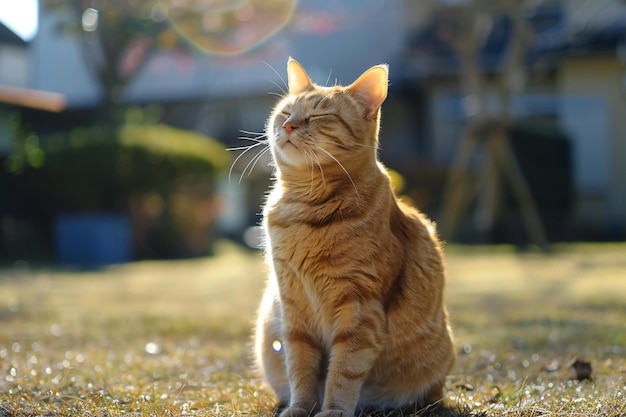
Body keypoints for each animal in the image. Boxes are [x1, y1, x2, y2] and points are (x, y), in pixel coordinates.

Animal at [254, 58, 454, 416]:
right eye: (285, 112)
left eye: (318, 116)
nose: (288, 126)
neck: (303, 208)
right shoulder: (293, 305)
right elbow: (300, 366)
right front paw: (300, 407)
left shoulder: (360, 308)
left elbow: (344, 371)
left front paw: (332, 410)